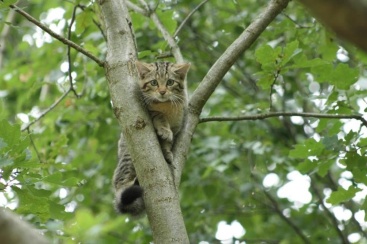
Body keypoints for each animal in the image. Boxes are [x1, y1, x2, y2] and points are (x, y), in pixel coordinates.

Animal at [113, 61, 191, 215]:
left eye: (170, 82)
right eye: (154, 82)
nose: (162, 91)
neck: (166, 106)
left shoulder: (178, 124)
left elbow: (168, 142)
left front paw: (167, 151)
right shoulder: (149, 110)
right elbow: (158, 115)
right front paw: (164, 128)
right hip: (128, 157)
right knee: (121, 181)